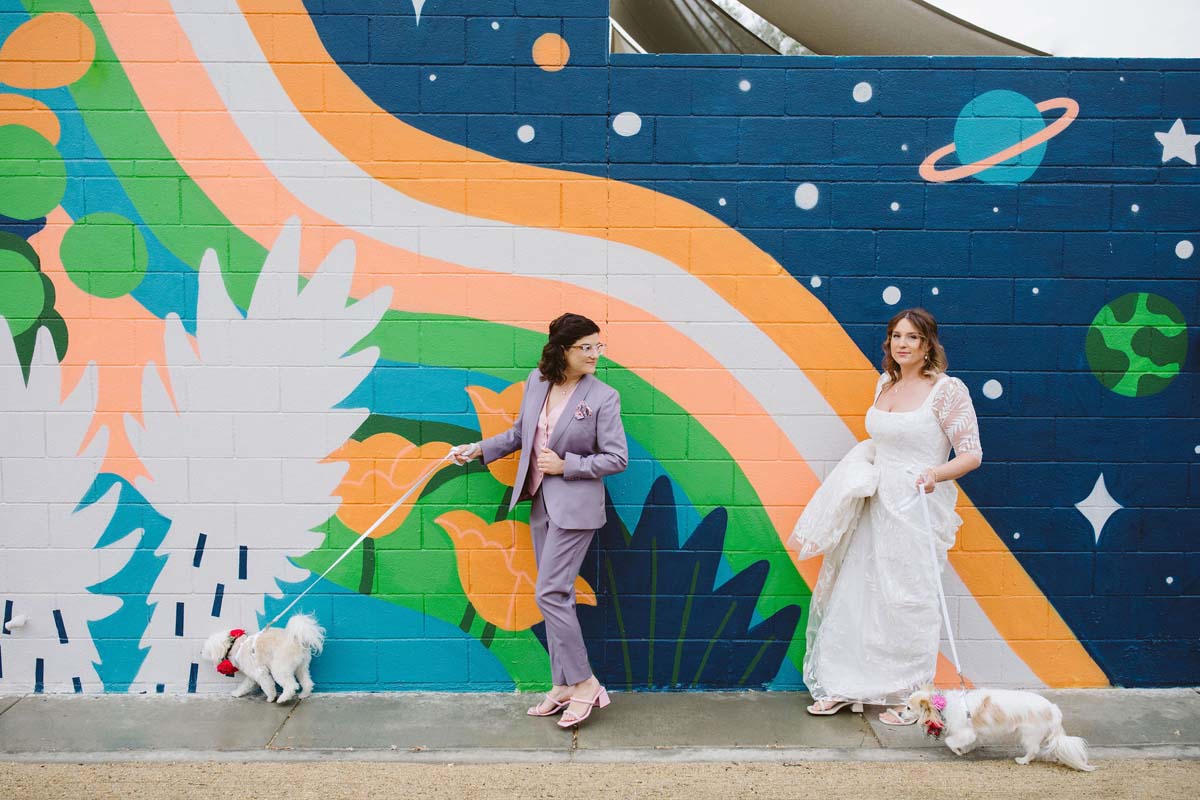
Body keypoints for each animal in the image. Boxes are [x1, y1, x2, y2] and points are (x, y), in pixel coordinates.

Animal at [907, 686, 1099, 772]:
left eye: (908, 708)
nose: (901, 713)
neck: (943, 705)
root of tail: (1052, 708)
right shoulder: (974, 734)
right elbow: (969, 742)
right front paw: (965, 750)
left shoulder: (965, 732)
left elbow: (950, 741)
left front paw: (958, 751)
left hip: (1029, 735)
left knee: (1034, 750)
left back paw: (1023, 760)